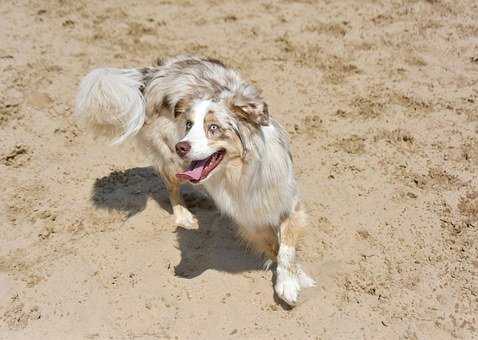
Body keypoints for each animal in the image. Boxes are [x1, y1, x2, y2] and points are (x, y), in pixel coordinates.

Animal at [74, 53, 314, 306]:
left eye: (214, 128)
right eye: (189, 125)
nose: (181, 146)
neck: (240, 173)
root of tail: (155, 72)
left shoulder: (288, 202)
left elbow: (286, 248)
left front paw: (292, 281)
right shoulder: (247, 220)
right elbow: (273, 246)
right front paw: (291, 280)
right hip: (169, 157)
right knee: (171, 185)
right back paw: (184, 215)